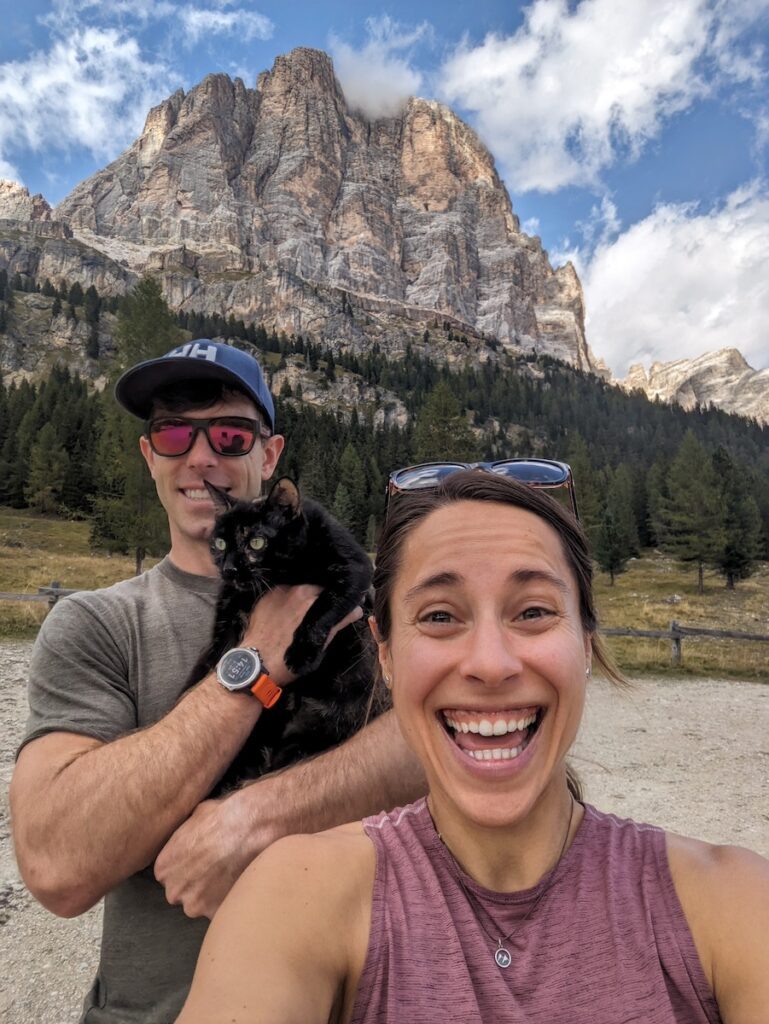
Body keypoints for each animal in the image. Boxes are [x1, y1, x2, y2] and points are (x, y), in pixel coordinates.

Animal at [185, 475, 387, 794]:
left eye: (256, 542)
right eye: (219, 543)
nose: (229, 569)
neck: (285, 574)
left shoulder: (354, 568)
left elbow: (322, 609)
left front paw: (300, 654)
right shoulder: (227, 615)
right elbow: (209, 661)